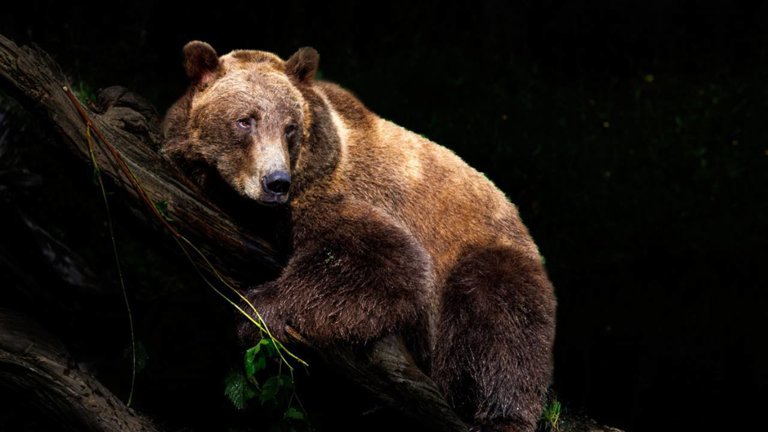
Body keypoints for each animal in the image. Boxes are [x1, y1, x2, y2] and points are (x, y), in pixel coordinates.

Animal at [162, 41, 556, 432]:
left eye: (290, 127)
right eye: (245, 120)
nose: (275, 182)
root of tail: (519, 219)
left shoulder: (330, 195)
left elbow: (385, 261)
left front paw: (257, 307)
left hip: (482, 250)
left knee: (499, 321)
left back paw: (502, 415)